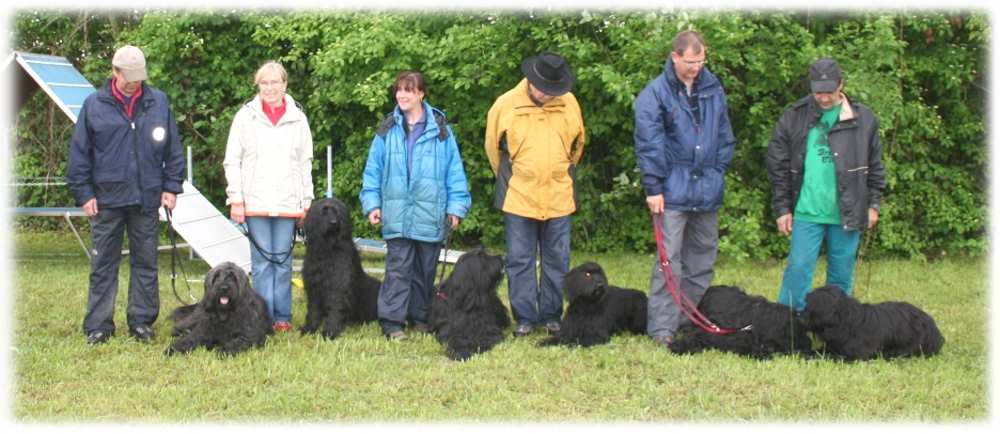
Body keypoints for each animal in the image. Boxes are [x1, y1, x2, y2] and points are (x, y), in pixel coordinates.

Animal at [298, 198, 380, 340]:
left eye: (337, 212)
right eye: (324, 211)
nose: (334, 222)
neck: (328, 250)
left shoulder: (338, 286)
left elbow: (336, 308)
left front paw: (330, 332)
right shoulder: (314, 286)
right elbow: (313, 309)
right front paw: (309, 328)